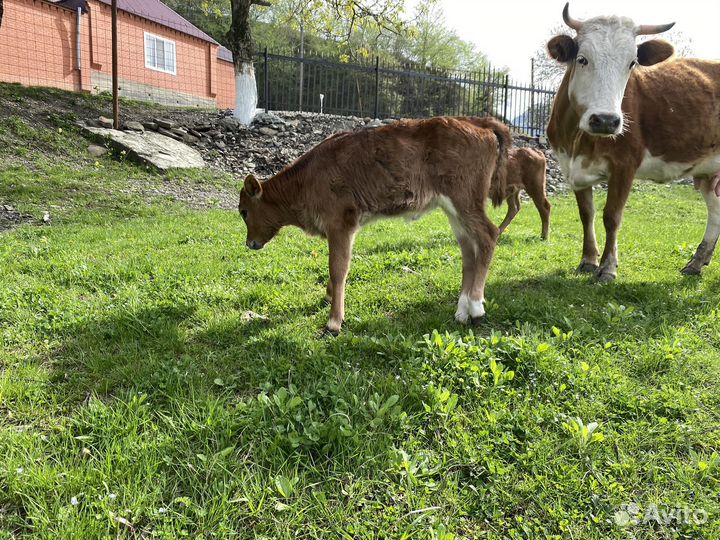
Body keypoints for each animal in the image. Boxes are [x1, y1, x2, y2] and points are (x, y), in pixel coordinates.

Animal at [238, 116, 511, 335]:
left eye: (243, 211)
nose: (250, 243)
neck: (307, 180)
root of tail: (478, 123)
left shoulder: (340, 224)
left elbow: (338, 269)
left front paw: (334, 322)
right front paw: (328, 297)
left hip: (465, 200)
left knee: (489, 235)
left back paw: (476, 306)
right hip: (453, 210)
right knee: (469, 251)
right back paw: (462, 311)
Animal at [546, 3, 720, 281]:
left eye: (631, 63)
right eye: (582, 59)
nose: (606, 120)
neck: (578, 139)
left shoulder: (625, 164)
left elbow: (612, 216)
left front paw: (607, 267)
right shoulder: (571, 166)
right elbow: (586, 214)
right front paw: (588, 260)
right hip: (707, 170)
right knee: (716, 210)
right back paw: (696, 262)